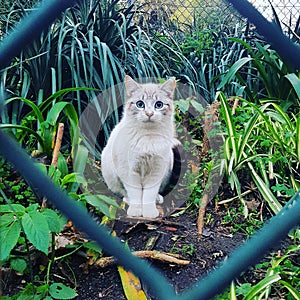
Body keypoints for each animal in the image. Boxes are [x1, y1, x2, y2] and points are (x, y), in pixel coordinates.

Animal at [101, 74, 178, 216]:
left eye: (159, 105)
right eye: (140, 104)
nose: (149, 114)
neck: (147, 136)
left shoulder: (156, 169)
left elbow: (149, 194)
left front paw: (149, 212)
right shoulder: (129, 170)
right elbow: (135, 193)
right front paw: (136, 212)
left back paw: (157, 198)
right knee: (123, 192)